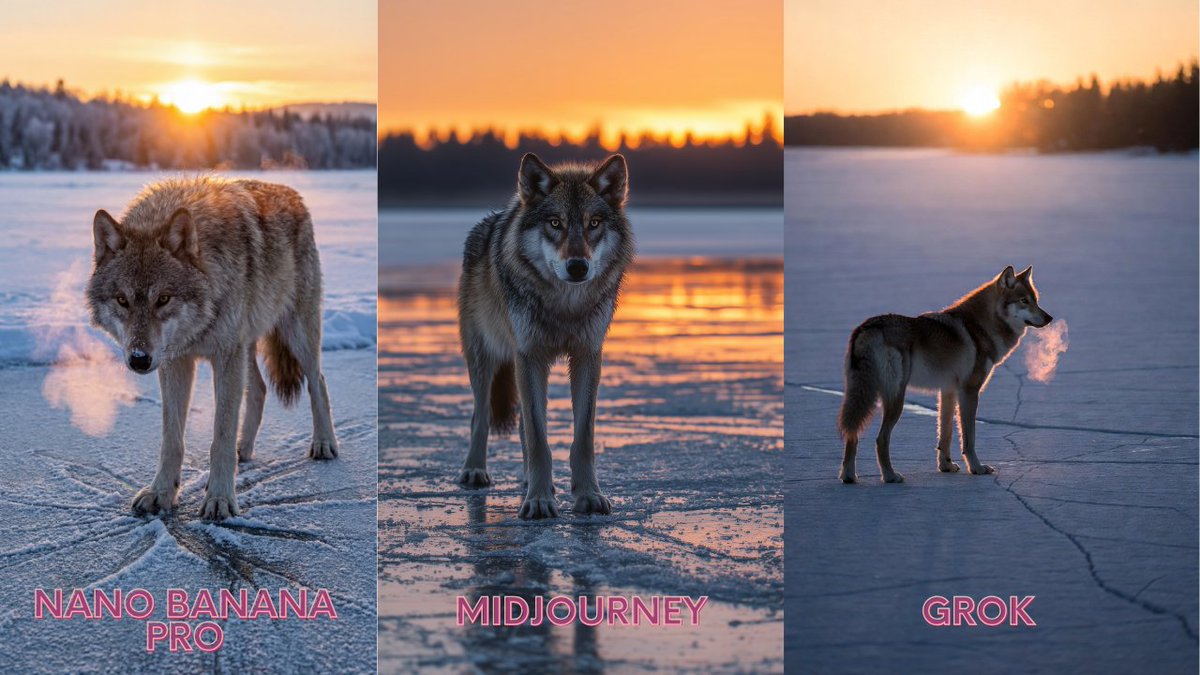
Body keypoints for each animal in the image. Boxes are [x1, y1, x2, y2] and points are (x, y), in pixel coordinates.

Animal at [87, 176, 337, 520]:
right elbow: (172, 439)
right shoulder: (176, 362)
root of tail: (291, 191)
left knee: (318, 382)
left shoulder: (225, 356)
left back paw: (324, 444)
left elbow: (220, 437)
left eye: (163, 299)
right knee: (259, 388)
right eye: (122, 300)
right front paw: (161, 493)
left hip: (295, 333)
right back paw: (244, 449)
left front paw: (220, 499)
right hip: (247, 346)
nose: (139, 360)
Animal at [456, 153, 635, 519]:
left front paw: (588, 495)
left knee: (522, 424)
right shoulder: (529, 356)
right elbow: (539, 437)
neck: (564, 305)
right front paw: (539, 501)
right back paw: (475, 471)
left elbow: (582, 437)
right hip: (484, 358)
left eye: (594, 223)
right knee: (480, 416)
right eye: (555, 223)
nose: (578, 266)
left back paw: (529, 480)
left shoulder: (587, 356)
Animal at [837, 266, 1052, 483]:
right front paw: (977, 468)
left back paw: (848, 476)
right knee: (881, 438)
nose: (1049, 318)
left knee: (852, 433)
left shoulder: (948, 390)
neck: (982, 327)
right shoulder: (969, 391)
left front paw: (946, 466)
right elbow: (969, 437)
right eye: (1024, 300)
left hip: (861, 396)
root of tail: (868, 328)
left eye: (1036, 300)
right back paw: (890, 476)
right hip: (895, 398)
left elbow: (945, 433)